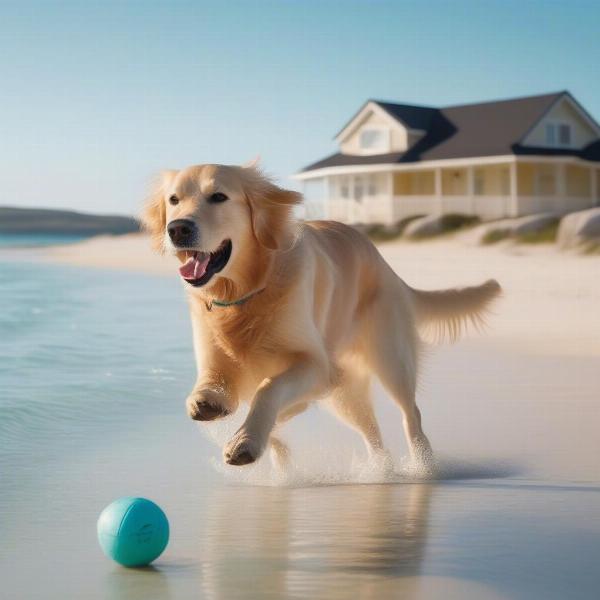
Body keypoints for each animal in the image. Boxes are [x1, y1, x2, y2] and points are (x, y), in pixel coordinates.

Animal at [142, 163, 502, 468]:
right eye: (174, 200)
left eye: (218, 196)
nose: (177, 229)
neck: (246, 293)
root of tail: (389, 268)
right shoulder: (216, 357)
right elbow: (212, 386)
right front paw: (210, 405)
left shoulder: (313, 363)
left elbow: (268, 389)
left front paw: (244, 442)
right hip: (343, 393)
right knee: (369, 433)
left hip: (388, 358)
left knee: (410, 413)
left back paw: (422, 465)